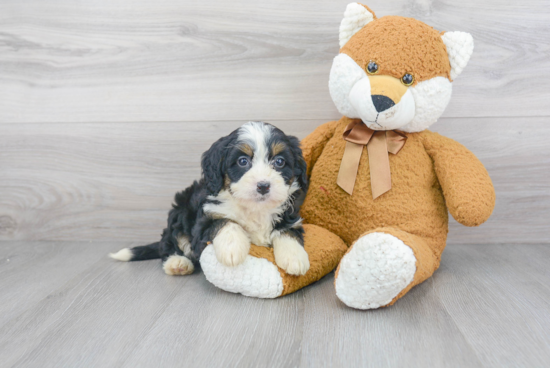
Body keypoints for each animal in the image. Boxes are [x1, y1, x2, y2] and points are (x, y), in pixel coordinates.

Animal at [110, 121, 312, 276]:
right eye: (242, 161)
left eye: (279, 161)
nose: (263, 186)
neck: (253, 208)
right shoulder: (205, 219)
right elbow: (225, 222)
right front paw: (232, 249)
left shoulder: (289, 215)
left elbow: (287, 231)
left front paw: (295, 257)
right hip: (180, 212)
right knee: (170, 242)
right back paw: (177, 263)